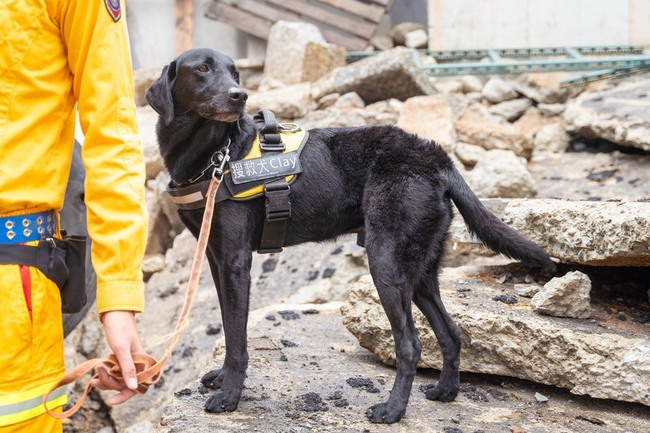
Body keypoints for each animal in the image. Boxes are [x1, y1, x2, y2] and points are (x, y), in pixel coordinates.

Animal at [146, 48, 552, 422]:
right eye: (203, 68)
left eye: (235, 73)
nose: (238, 95)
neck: (220, 154)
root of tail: (438, 159)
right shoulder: (215, 260)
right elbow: (230, 328)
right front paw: (221, 379)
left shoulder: (235, 263)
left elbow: (236, 338)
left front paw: (229, 395)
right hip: (419, 269)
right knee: (450, 332)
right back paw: (445, 391)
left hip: (386, 262)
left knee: (410, 344)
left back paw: (392, 410)